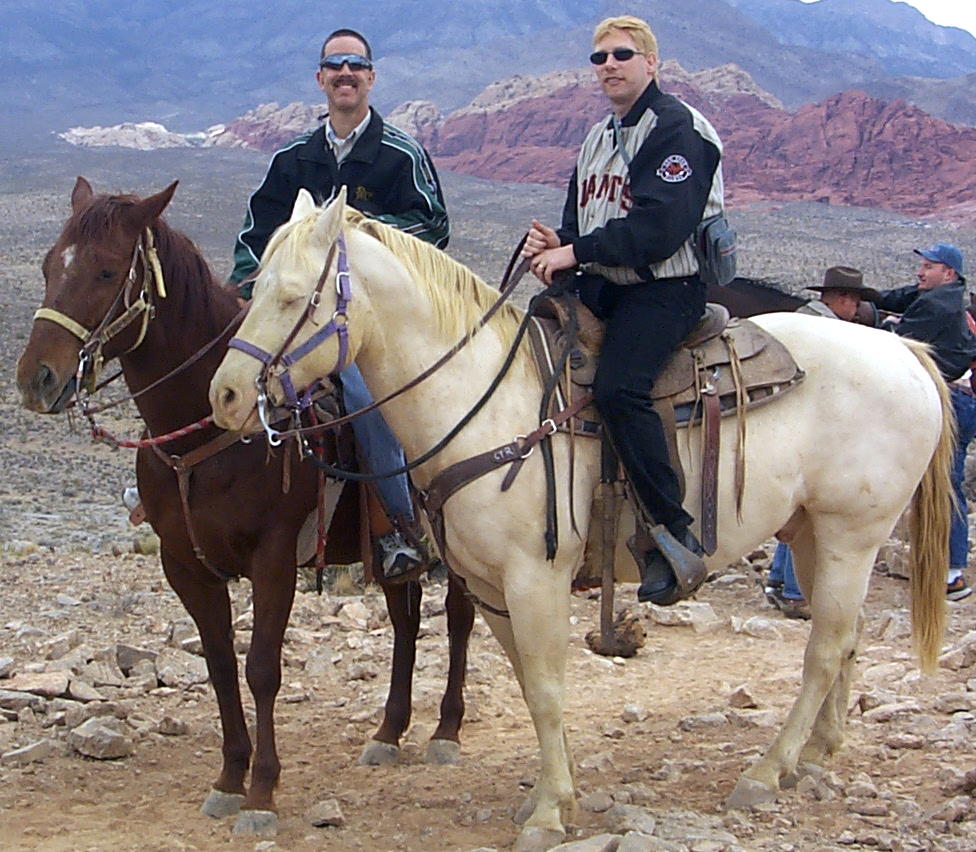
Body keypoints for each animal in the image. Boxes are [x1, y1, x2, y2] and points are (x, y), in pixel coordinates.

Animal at [13, 176, 474, 836]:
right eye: (50, 265)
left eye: (105, 271)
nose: (37, 379)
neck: (206, 438)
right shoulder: (185, 565)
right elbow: (219, 666)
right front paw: (230, 778)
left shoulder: (273, 558)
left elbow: (261, 668)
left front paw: (261, 793)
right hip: (389, 545)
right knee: (406, 618)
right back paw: (388, 732)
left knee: (459, 617)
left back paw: (445, 730)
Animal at [210, 191, 948, 852]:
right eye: (253, 286)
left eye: (294, 297)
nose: (225, 397)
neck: (483, 401)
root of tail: (904, 351)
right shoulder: (491, 588)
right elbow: (531, 685)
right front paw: (551, 795)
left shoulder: (536, 578)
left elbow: (544, 688)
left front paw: (546, 815)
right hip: (810, 530)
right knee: (846, 637)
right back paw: (818, 755)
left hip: (854, 532)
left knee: (825, 648)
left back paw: (767, 772)